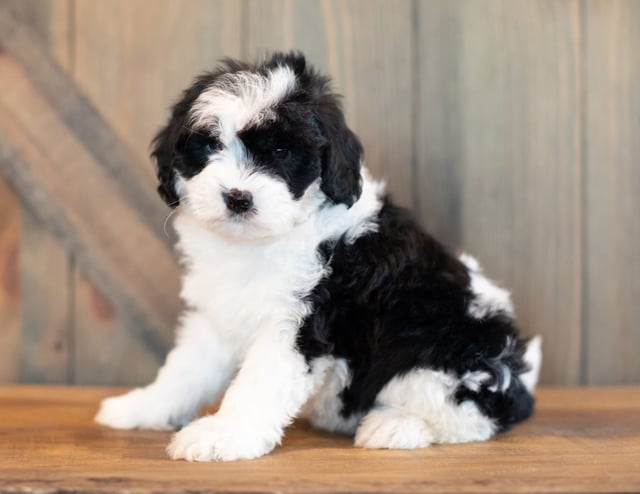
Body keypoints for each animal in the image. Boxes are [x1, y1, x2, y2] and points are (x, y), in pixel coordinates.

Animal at [96, 52, 540, 462]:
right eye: (209, 146)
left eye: (282, 151)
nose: (238, 197)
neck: (263, 241)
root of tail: (521, 380)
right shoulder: (218, 314)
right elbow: (185, 369)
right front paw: (142, 407)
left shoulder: (302, 323)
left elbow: (259, 383)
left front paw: (224, 435)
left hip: (445, 349)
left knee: (469, 414)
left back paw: (395, 426)